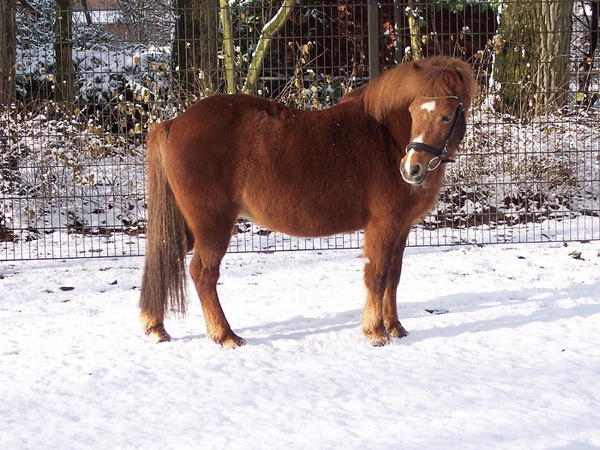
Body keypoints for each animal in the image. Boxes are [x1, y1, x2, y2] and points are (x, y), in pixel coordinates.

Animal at [141, 56, 478, 348]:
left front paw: (394, 326)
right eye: (414, 111)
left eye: (446, 115)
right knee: (203, 273)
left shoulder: (402, 227)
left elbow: (393, 276)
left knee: (166, 256)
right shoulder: (383, 225)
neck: (386, 137)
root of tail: (174, 123)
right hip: (213, 225)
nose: (412, 169)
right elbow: (377, 275)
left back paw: (156, 327)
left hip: (187, 226)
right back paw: (225, 335)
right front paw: (375, 331)